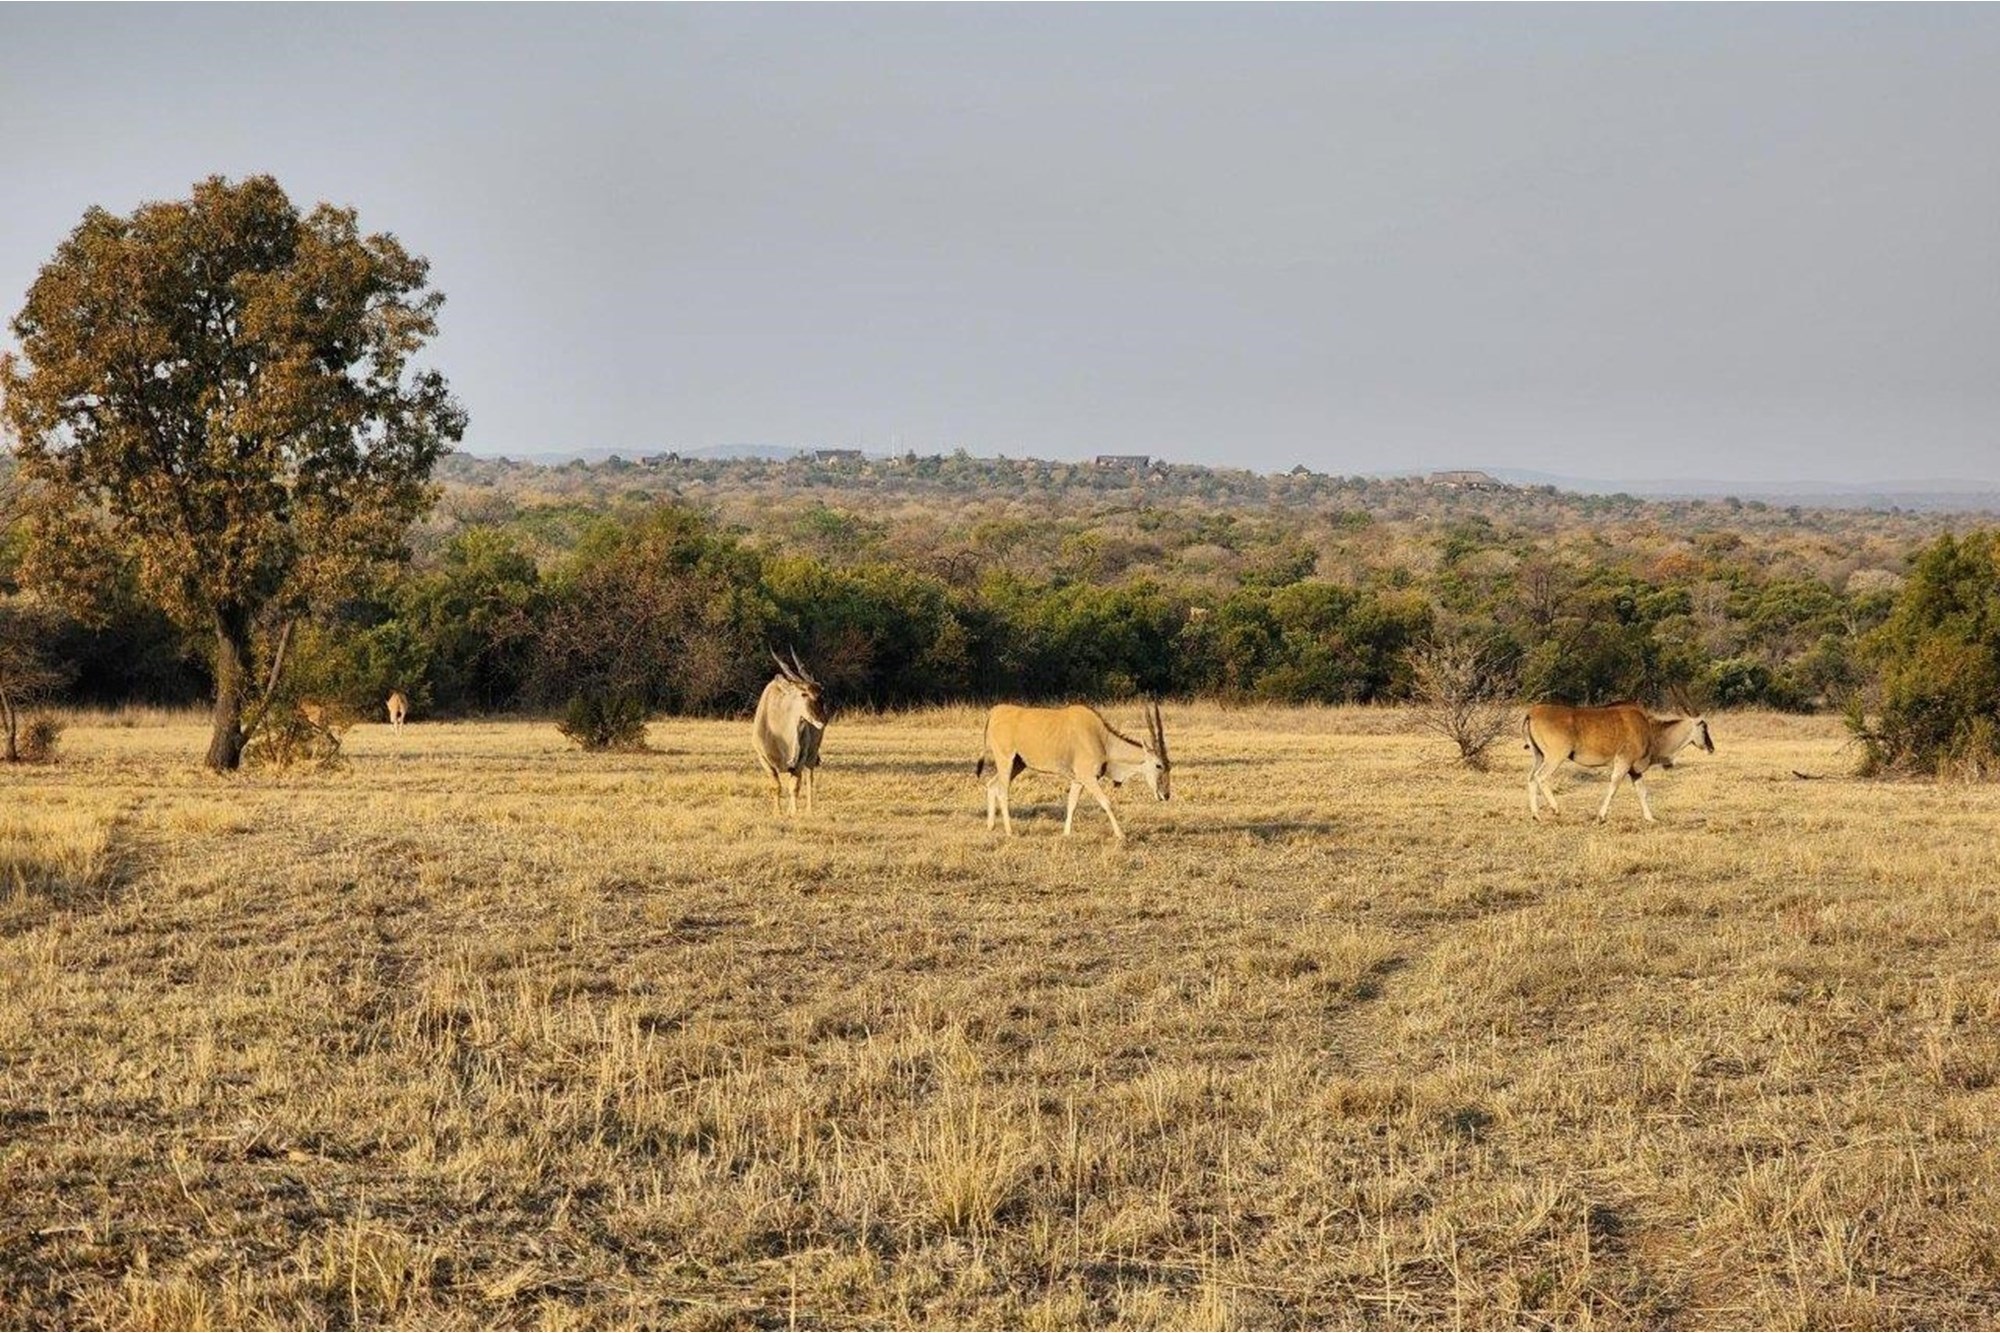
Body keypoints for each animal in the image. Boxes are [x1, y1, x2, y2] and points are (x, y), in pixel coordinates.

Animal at [752, 649, 828, 815]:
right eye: (804, 694)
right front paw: (778, 812)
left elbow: (794, 787)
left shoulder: (799, 761)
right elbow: (776, 786)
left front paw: (793, 812)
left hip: (812, 755)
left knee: (809, 779)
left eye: (820, 695)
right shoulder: (764, 760)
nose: (823, 720)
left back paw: (809, 810)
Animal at [976, 701, 1170, 838]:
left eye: (1169, 765)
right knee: (1002, 791)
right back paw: (1009, 831)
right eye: (1158, 765)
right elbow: (1106, 803)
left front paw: (1066, 833)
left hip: (1017, 764)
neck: (1102, 740)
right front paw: (1121, 835)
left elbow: (1072, 804)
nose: (1166, 795)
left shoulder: (1078, 781)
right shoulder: (1088, 778)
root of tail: (995, 711)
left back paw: (991, 826)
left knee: (992, 784)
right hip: (1006, 761)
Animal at [1523, 697, 1714, 822]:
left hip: (1539, 757)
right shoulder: (1623, 763)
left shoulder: (1634, 771)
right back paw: (1555, 810)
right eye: (1704, 727)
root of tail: (1533, 712)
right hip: (1555, 757)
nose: (1711, 748)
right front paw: (1601, 817)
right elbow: (1613, 787)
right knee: (1541, 777)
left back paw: (1536, 815)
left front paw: (1650, 818)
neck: (1649, 728)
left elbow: (1642, 792)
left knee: (1531, 778)